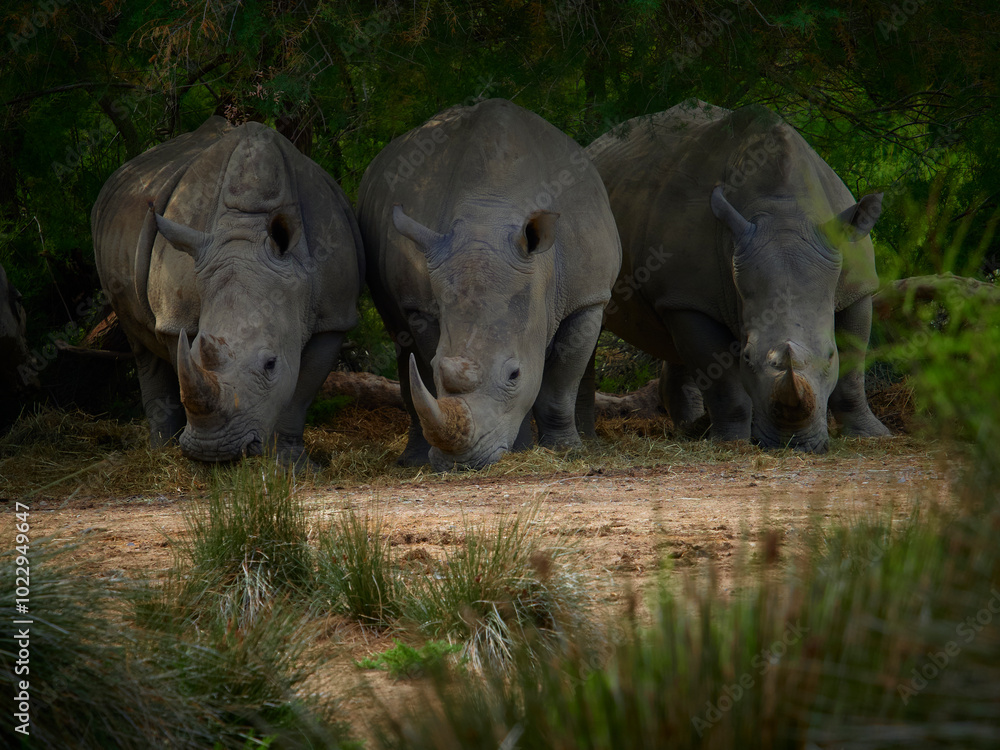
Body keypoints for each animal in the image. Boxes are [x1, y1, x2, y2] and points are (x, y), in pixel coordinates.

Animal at [92, 116, 364, 462]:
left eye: (270, 364)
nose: (213, 451)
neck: (246, 232)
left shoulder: (334, 316)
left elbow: (299, 393)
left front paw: (290, 462)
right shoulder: (176, 317)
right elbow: (181, 359)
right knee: (141, 347)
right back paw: (161, 450)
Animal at [357, 98, 621, 470]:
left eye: (514, 375)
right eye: (437, 369)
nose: (461, 462)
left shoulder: (587, 298)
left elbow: (559, 383)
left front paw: (564, 451)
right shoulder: (421, 304)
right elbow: (425, 360)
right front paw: (521, 448)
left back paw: (588, 444)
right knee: (399, 337)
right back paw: (412, 461)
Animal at [587, 100, 890, 452]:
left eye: (830, 355)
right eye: (747, 357)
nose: (792, 444)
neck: (783, 209)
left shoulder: (856, 287)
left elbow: (853, 370)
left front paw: (873, 435)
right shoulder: (691, 298)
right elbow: (723, 381)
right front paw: (730, 442)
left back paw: (690, 430)